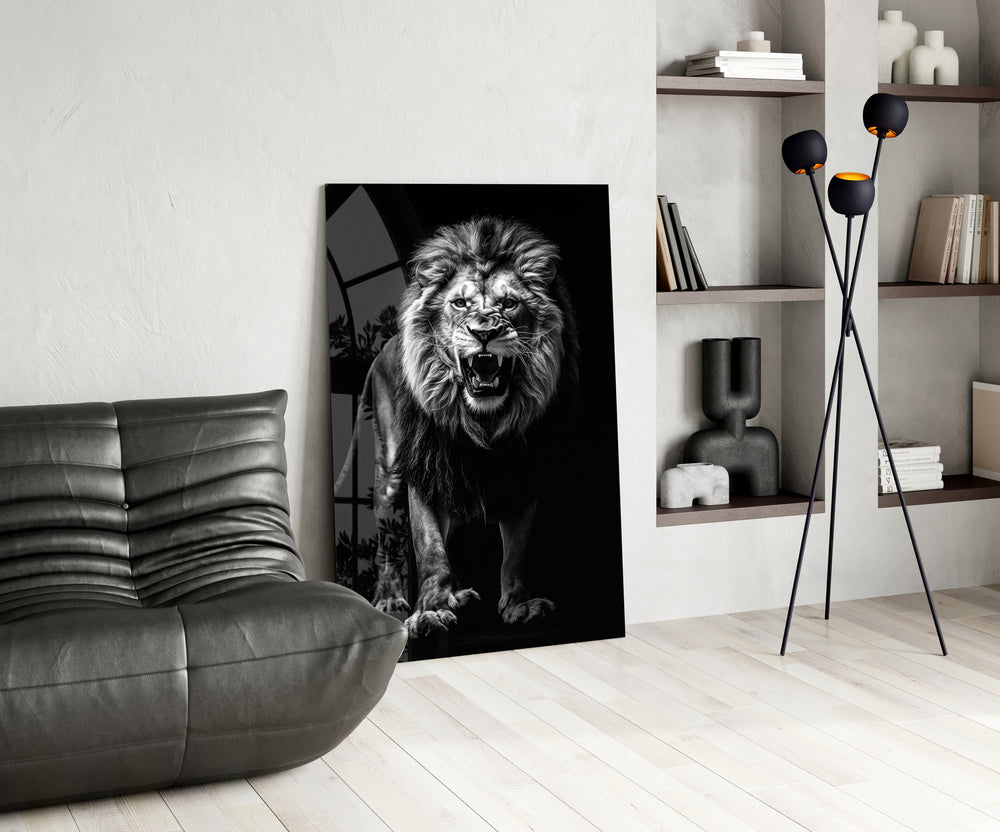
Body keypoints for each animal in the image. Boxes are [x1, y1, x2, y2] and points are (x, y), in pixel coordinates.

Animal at [348, 215, 579, 638]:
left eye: (509, 303)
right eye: (458, 303)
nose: (484, 332)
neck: (483, 422)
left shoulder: (526, 471)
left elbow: (517, 550)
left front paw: (519, 605)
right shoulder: (424, 468)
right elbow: (429, 546)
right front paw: (431, 612)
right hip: (390, 472)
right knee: (390, 540)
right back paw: (391, 598)